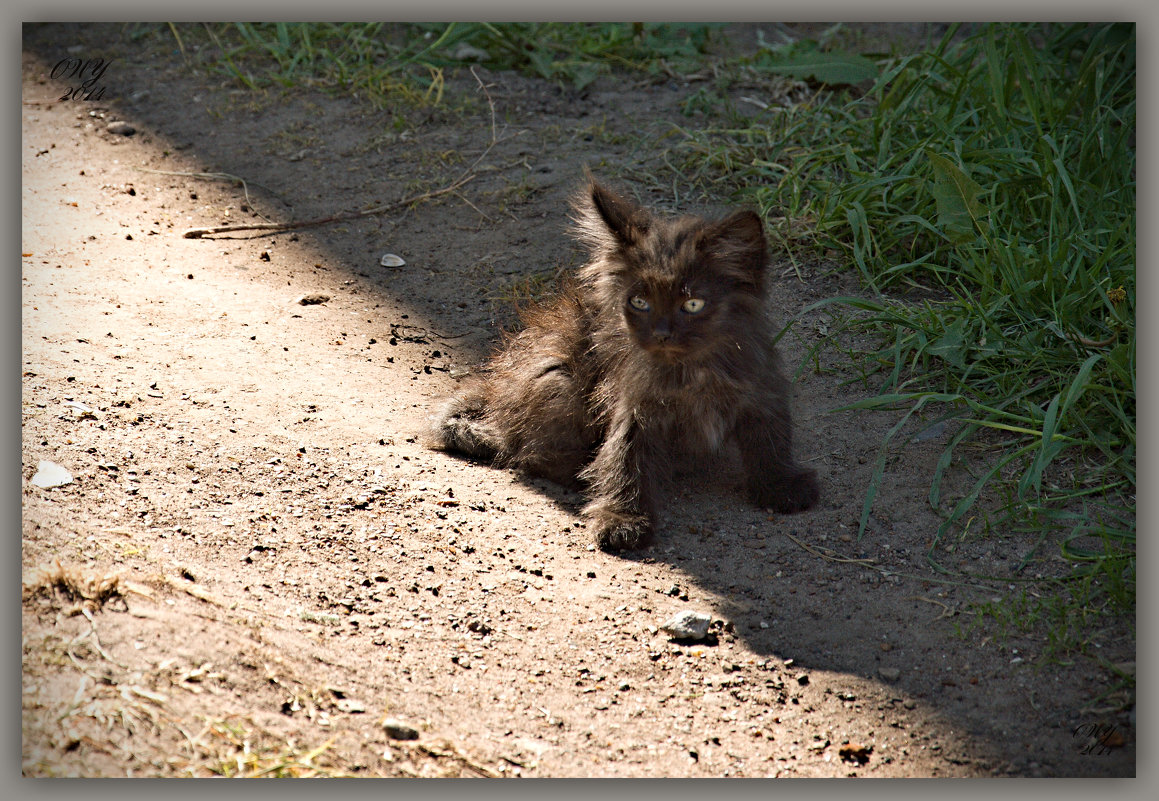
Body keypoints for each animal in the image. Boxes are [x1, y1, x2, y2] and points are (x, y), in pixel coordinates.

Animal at [431, 177, 820, 551]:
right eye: (639, 302)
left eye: (692, 304)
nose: (661, 333)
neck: (690, 373)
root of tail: (495, 391)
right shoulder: (634, 405)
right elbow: (625, 461)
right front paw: (622, 520)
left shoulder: (759, 386)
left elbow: (770, 439)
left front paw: (780, 485)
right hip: (557, 380)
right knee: (530, 452)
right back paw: (583, 470)